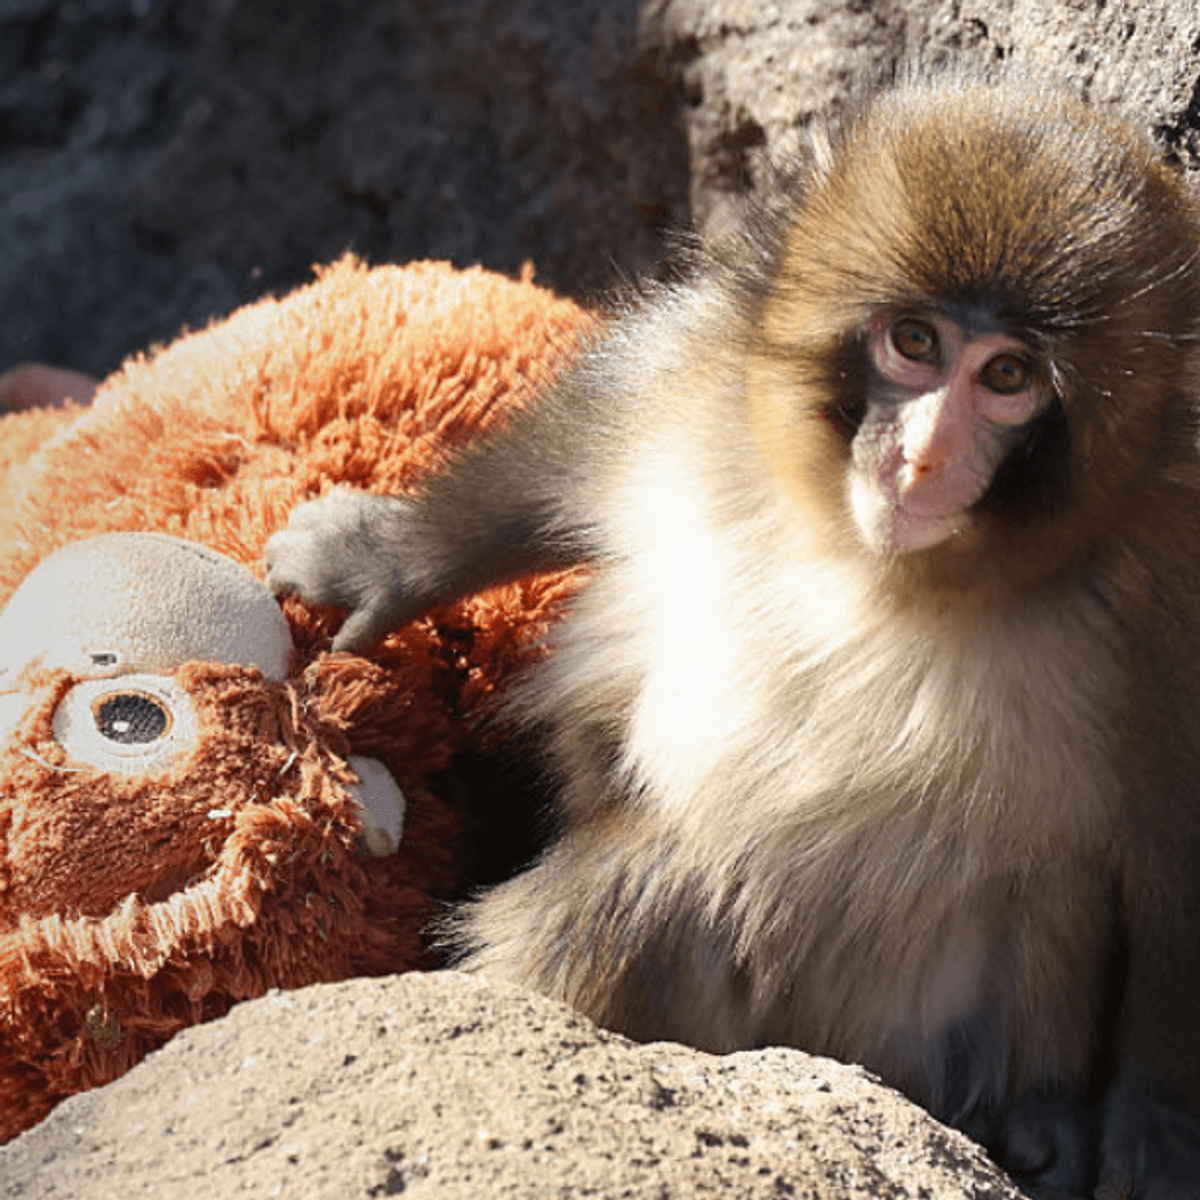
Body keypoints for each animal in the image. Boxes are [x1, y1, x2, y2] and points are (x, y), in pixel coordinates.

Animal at [265, 71, 1200, 1197]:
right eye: (916, 343)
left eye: (1008, 377)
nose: (923, 458)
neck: (877, 567)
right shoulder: (701, 388)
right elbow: (577, 444)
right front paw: (386, 556)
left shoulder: (1169, 592)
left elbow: (1177, 863)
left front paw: (1155, 1123)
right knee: (650, 892)